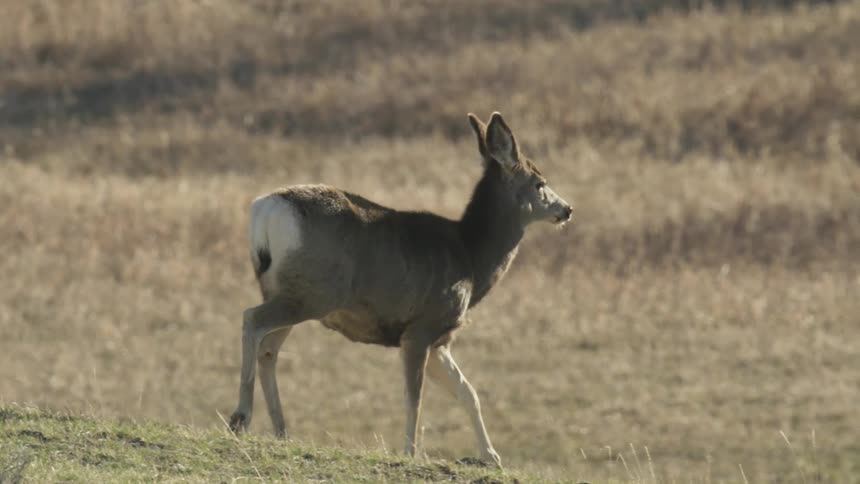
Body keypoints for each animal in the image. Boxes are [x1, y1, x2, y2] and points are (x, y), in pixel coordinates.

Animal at [228, 112, 572, 467]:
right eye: (540, 183)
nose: (566, 209)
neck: (472, 257)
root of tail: (265, 210)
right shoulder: (421, 328)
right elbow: (414, 397)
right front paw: (411, 452)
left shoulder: (440, 339)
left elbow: (468, 392)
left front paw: (491, 456)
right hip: (313, 293)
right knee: (252, 320)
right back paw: (240, 417)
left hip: (290, 291)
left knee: (269, 348)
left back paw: (281, 431)